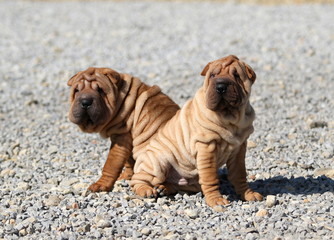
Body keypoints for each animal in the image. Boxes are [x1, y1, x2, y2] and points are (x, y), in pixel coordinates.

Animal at [130, 55, 264, 207]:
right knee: (138, 179)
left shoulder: (239, 149)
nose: (221, 86)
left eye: (236, 76)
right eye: (212, 75)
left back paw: (163, 188)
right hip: (157, 161)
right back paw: (147, 190)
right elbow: (210, 178)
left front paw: (248, 194)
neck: (229, 117)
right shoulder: (206, 147)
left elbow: (240, 174)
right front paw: (216, 200)